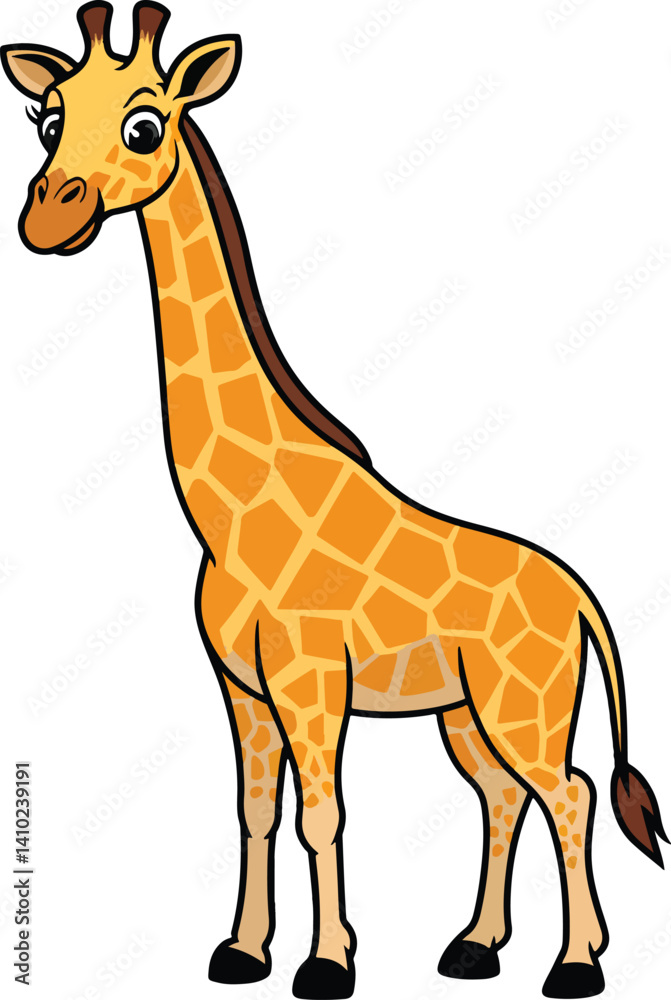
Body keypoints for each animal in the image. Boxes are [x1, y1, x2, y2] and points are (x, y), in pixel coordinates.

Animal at [2, 4, 667, 999]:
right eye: (46, 119)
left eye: (145, 124)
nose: (51, 217)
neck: (228, 514)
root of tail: (580, 595)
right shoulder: (239, 685)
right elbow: (254, 812)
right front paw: (241, 953)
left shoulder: (309, 677)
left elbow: (324, 815)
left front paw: (325, 965)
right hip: (465, 714)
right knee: (502, 795)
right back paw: (473, 948)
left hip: (527, 703)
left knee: (571, 793)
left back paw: (575, 965)